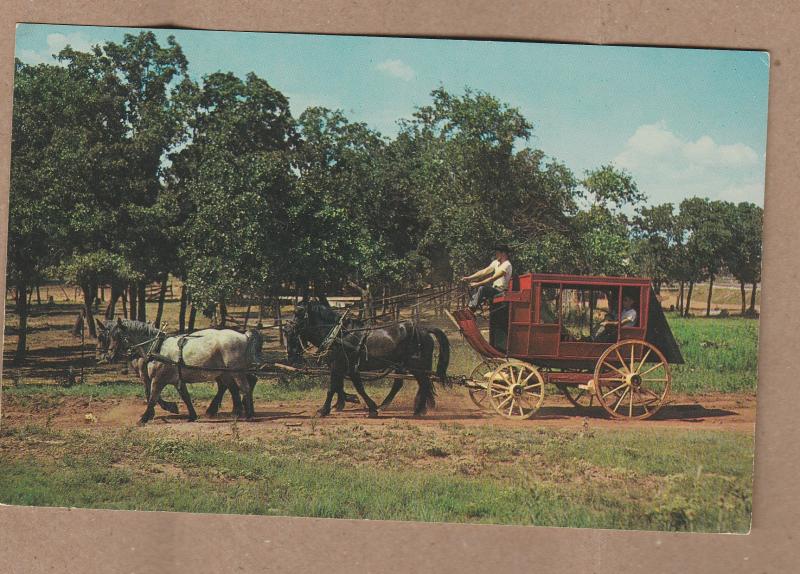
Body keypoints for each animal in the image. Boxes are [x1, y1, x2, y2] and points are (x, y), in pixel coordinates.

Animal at [99, 320, 262, 428]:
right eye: (107, 336)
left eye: (117, 336)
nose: (108, 356)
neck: (156, 347)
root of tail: (244, 336)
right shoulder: (177, 380)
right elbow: (185, 397)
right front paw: (191, 416)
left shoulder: (157, 380)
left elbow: (152, 397)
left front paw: (144, 418)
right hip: (226, 373)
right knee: (234, 389)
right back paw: (236, 412)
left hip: (236, 372)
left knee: (245, 388)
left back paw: (249, 414)